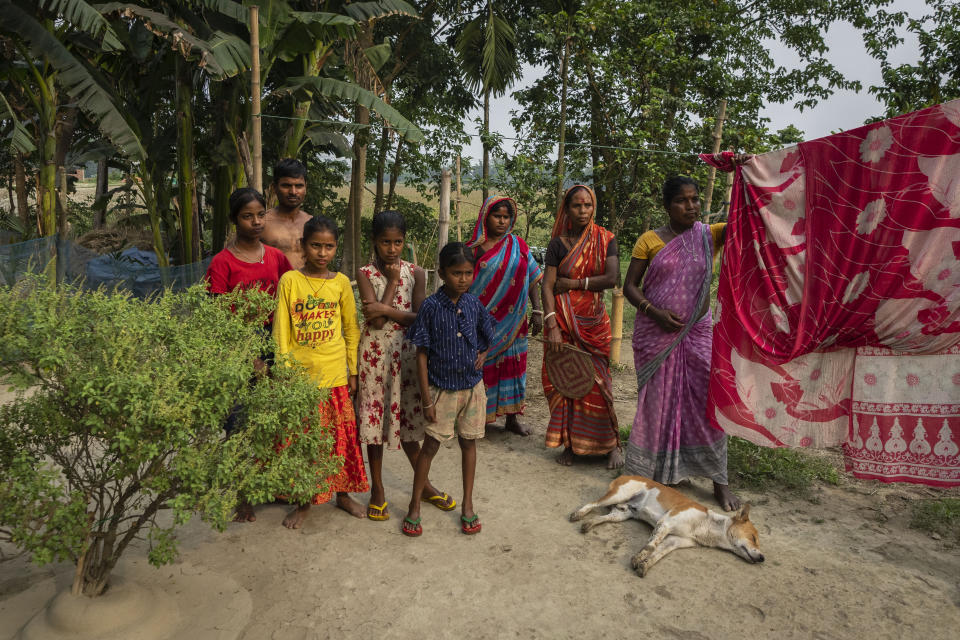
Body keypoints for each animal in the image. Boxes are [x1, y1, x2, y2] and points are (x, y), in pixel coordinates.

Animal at [568, 476, 764, 576]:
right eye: (753, 538)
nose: (763, 558)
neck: (706, 525)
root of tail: (625, 474)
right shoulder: (666, 523)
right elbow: (650, 546)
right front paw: (638, 559)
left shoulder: (674, 541)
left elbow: (658, 554)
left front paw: (645, 565)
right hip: (618, 495)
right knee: (593, 503)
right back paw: (579, 514)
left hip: (623, 514)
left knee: (603, 517)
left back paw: (589, 524)